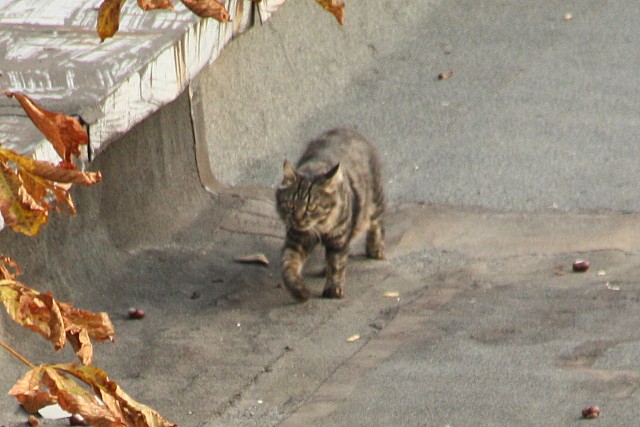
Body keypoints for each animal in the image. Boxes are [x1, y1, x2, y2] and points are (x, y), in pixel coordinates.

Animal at [276, 129, 384, 302]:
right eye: (291, 205)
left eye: (311, 207)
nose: (298, 219)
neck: (320, 227)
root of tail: (349, 130)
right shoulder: (296, 240)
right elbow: (288, 266)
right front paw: (298, 290)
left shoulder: (338, 239)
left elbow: (337, 264)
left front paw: (334, 288)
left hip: (374, 201)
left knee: (377, 223)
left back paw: (376, 248)